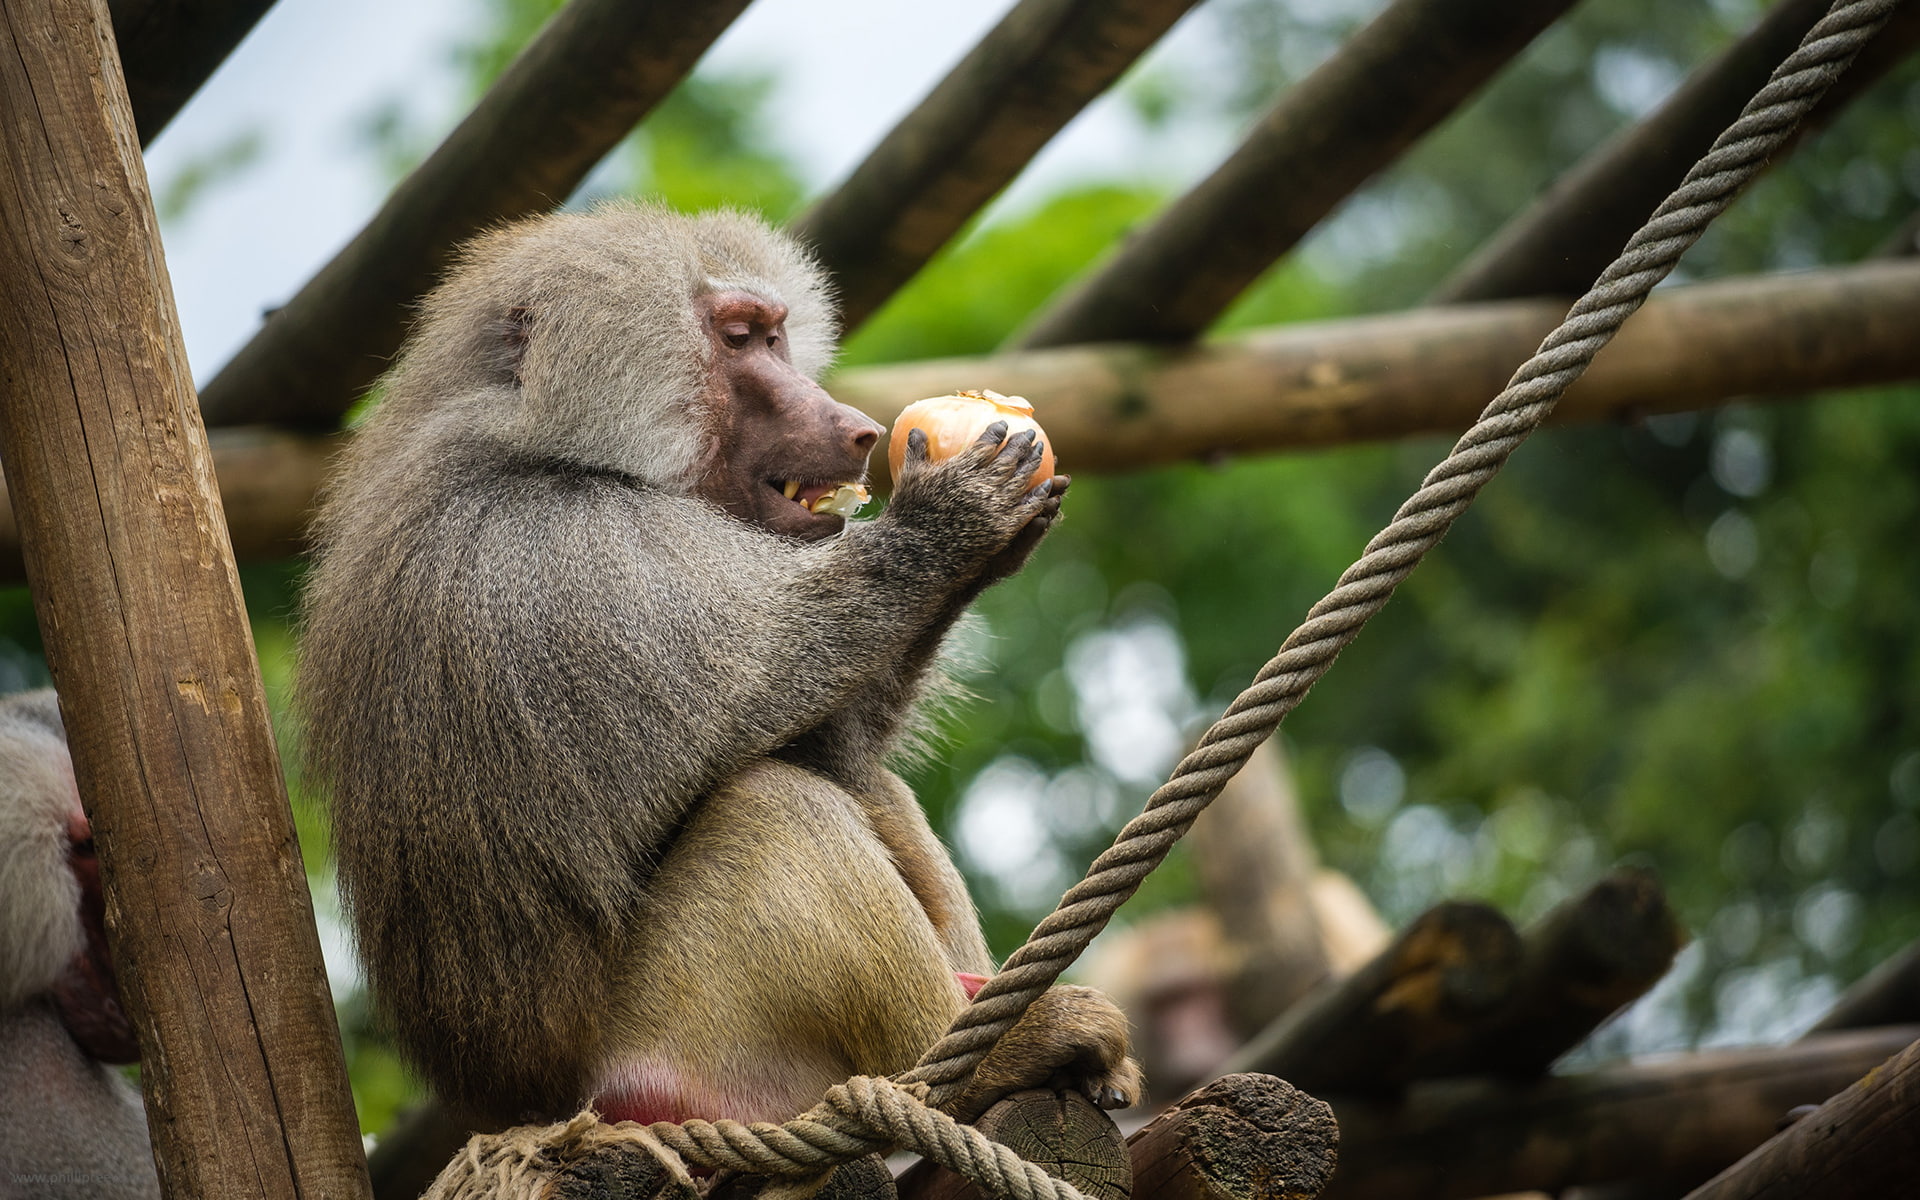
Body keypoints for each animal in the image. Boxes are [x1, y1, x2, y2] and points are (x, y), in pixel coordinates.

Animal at [296, 202, 1140, 1131]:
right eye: (737, 340)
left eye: (776, 336)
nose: (858, 430)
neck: (541, 444)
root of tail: (534, 1107)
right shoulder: (572, 561)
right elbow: (775, 670)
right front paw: (954, 520)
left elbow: (840, 731)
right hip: (674, 1032)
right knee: (776, 806)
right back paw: (983, 1056)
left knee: (853, 777)